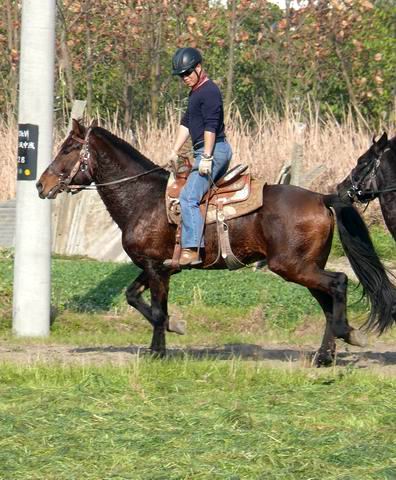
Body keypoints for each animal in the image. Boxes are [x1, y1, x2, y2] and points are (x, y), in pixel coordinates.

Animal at [36, 119, 396, 364]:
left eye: (68, 149)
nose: (41, 184)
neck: (144, 199)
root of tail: (323, 198)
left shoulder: (155, 268)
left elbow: (156, 310)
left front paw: (158, 350)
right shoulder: (159, 267)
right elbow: (133, 297)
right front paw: (174, 327)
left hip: (293, 266)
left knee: (338, 283)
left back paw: (341, 339)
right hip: (305, 266)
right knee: (327, 299)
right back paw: (329, 350)